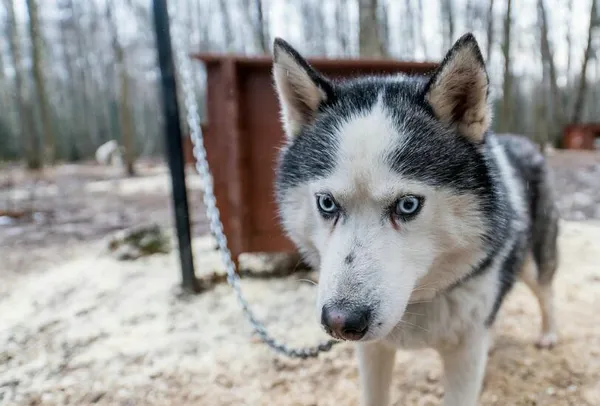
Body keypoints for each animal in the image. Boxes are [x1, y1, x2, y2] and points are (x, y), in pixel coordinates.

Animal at [270, 34, 560, 406]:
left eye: (407, 206)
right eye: (327, 203)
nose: (340, 322)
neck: (418, 300)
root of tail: (524, 141)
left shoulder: (465, 354)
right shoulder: (373, 352)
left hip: (533, 262)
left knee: (546, 292)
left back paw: (549, 333)